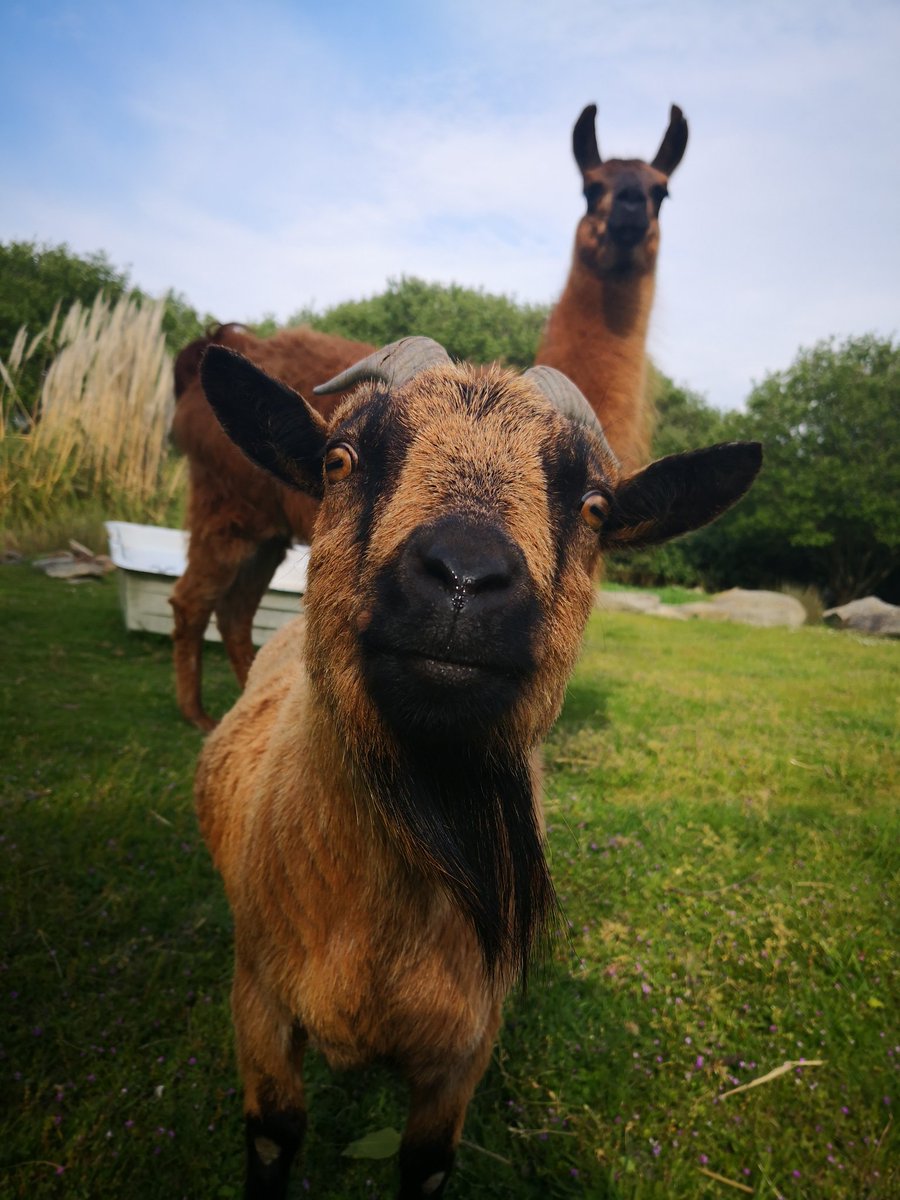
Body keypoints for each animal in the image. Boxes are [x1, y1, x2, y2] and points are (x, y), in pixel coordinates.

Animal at [194, 335, 761, 1198]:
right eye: (339, 458)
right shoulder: (258, 1002)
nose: (464, 577)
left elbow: (427, 1160)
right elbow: (273, 1137)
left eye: (595, 507)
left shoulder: (465, 1049)